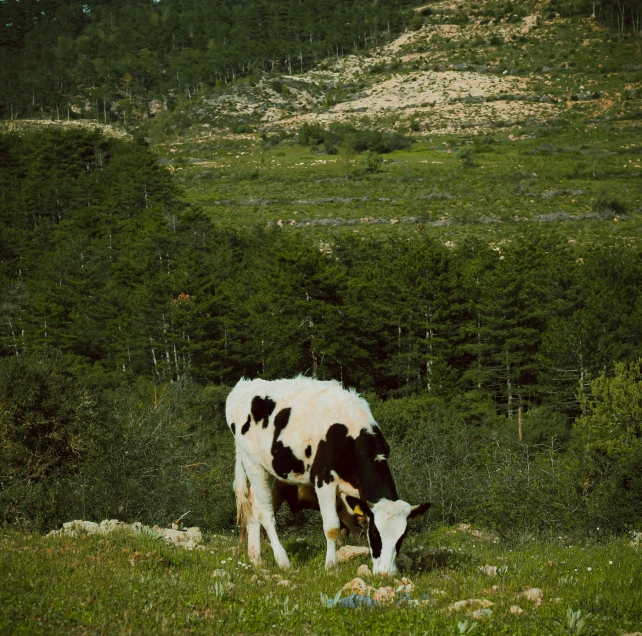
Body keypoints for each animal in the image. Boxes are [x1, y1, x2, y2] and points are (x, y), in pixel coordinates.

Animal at [226, 376, 430, 572]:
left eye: (402, 537)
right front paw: (331, 566)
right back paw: (283, 561)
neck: (350, 434)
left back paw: (255, 559)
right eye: (375, 534)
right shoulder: (324, 479)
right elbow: (332, 527)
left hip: (267, 469)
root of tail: (243, 386)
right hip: (253, 463)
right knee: (265, 512)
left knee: (252, 506)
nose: (386, 573)